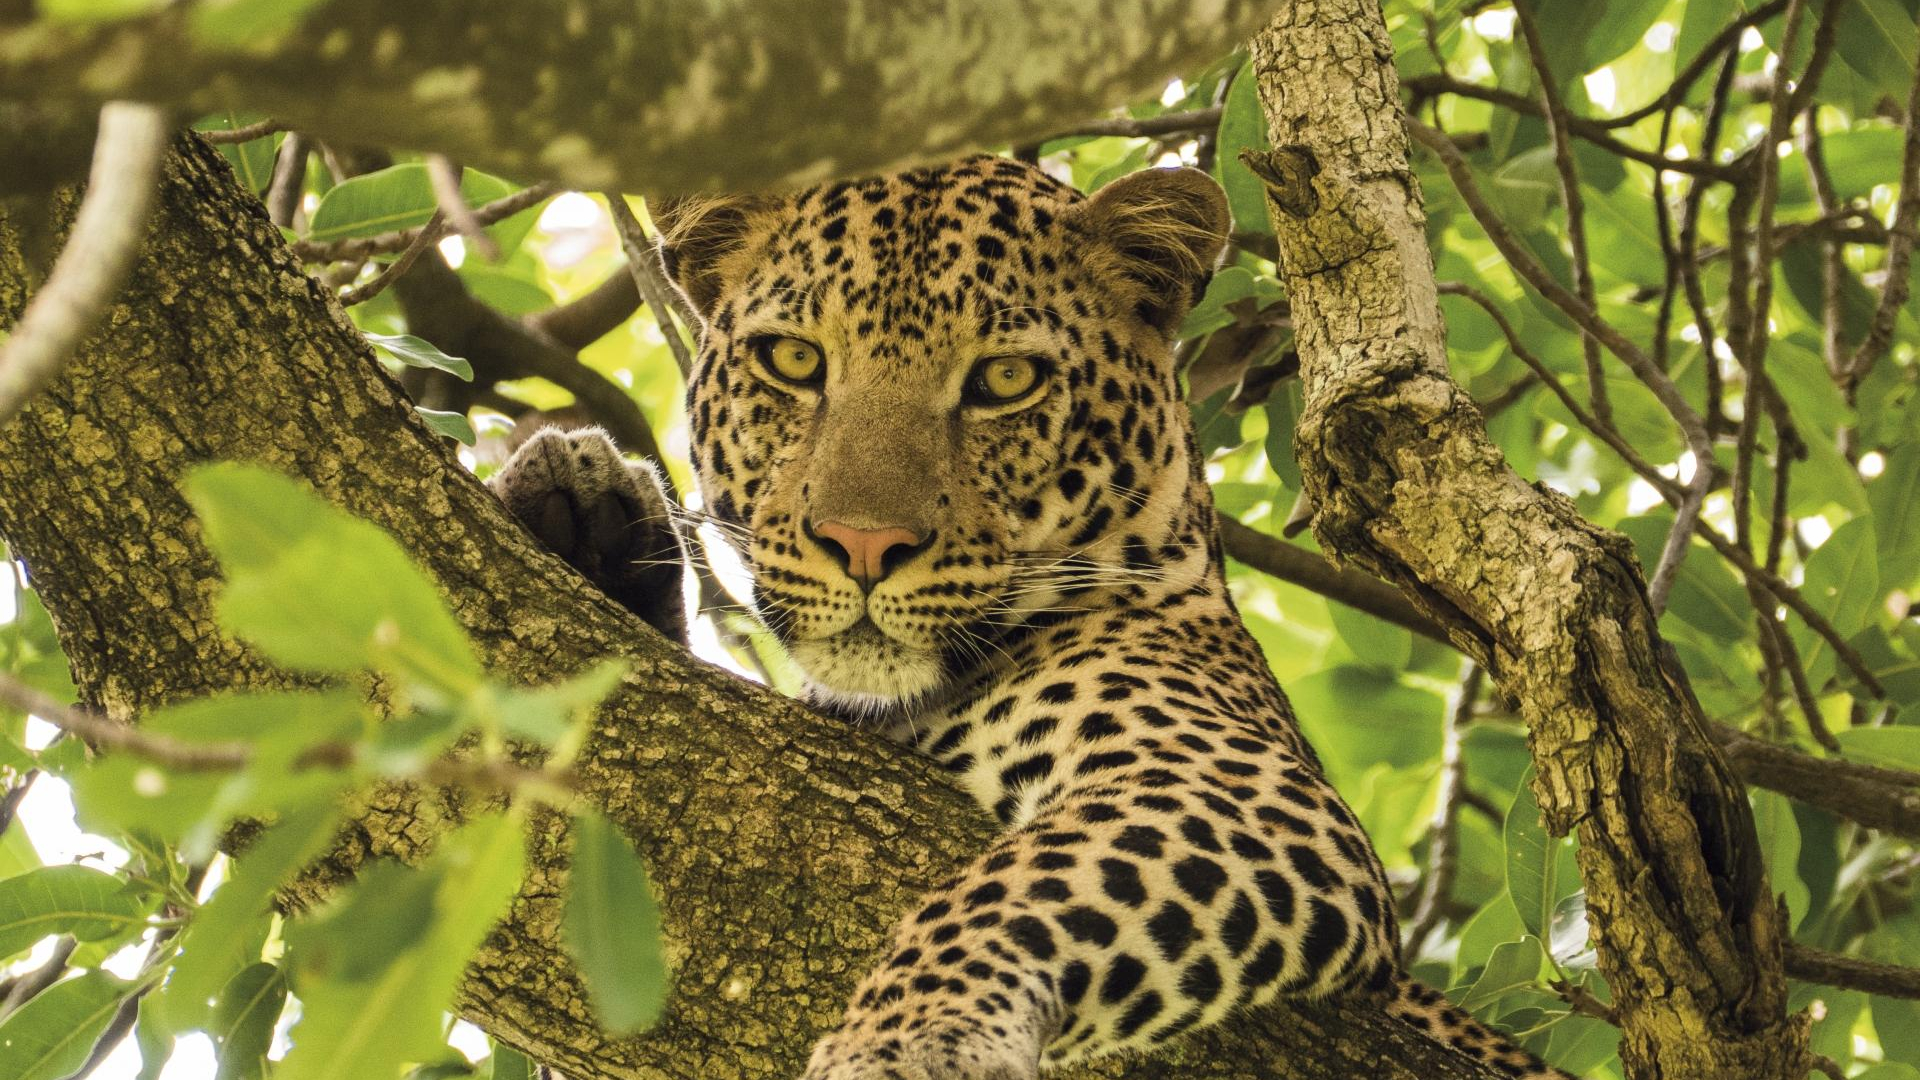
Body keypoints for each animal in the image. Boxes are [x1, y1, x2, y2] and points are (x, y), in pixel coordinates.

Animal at [489, 155, 1574, 1080]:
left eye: (1005, 380)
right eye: (793, 361)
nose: (864, 544)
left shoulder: (1246, 790)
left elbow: (1017, 889)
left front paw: (907, 1041)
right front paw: (581, 503)